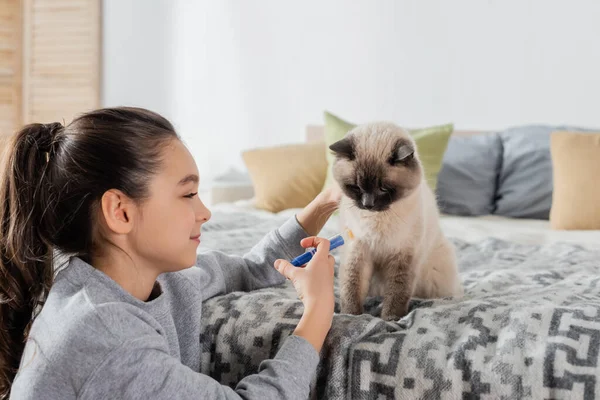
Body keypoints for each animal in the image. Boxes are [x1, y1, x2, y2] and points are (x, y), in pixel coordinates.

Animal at [330, 122, 462, 322]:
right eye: (356, 187)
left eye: (383, 188)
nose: (368, 204)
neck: (377, 219)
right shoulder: (358, 252)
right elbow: (352, 288)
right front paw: (351, 316)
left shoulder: (402, 256)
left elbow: (397, 292)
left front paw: (390, 319)